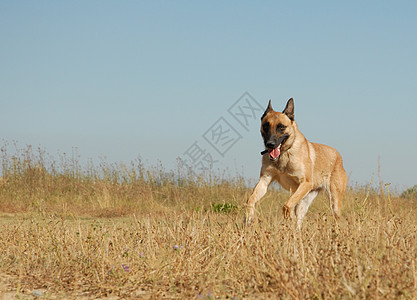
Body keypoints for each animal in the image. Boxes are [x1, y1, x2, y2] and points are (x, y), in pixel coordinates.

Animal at [245, 98, 346, 227]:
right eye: (266, 126)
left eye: (281, 127)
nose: (270, 144)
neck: (284, 154)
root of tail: (338, 155)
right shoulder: (264, 181)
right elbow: (250, 200)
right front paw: (249, 218)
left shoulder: (305, 183)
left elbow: (287, 205)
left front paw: (289, 218)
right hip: (305, 200)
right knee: (299, 218)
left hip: (334, 202)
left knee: (336, 218)